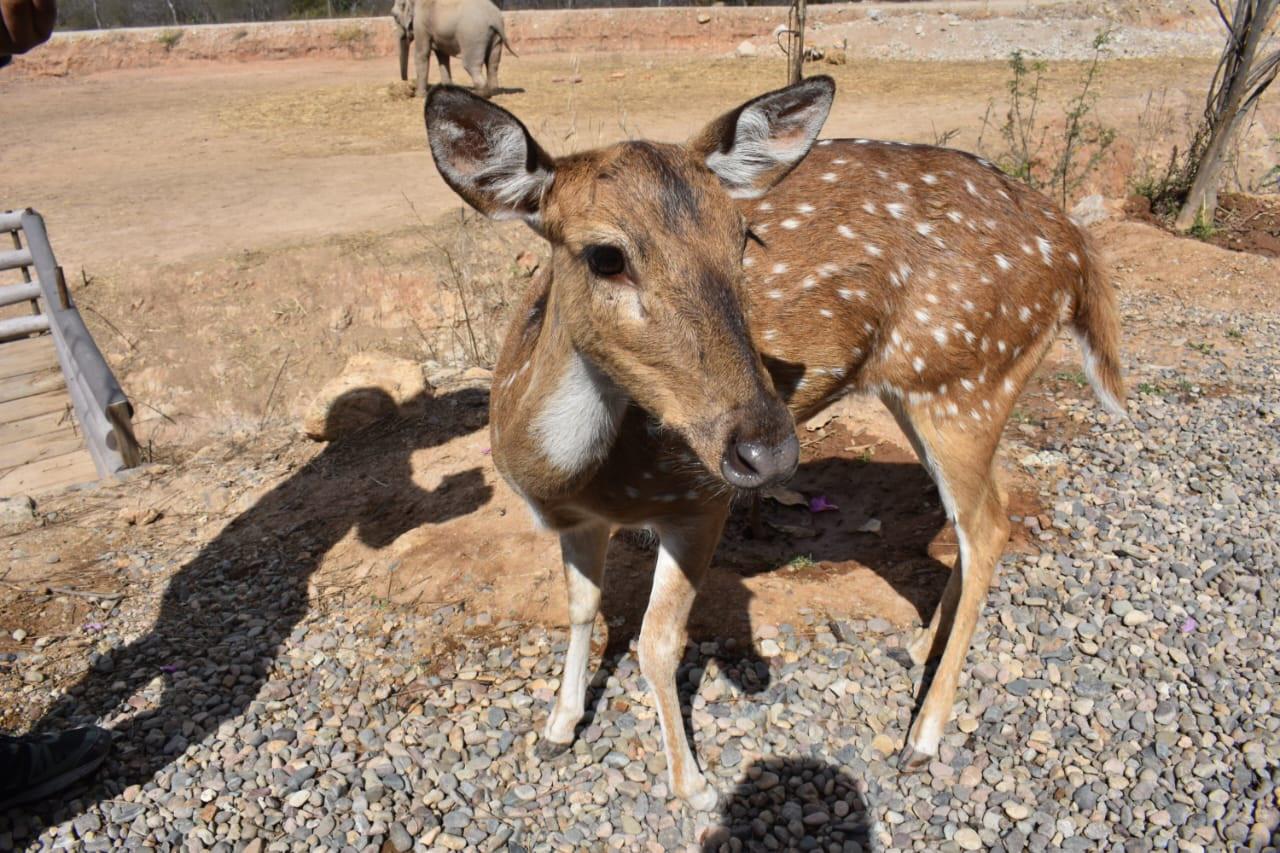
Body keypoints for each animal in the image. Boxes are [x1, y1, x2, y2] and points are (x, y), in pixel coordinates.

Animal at [424, 76, 1126, 809]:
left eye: (744, 238)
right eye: (605, 255)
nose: (769, 450)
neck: (575, 477)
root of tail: (1078, 248)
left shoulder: (698, 500)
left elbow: (657, 642)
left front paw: (694, 786)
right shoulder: (578, 521)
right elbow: (583, 607)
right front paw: (559, 726)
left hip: (967, 383)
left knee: (989, 524)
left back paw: (925, 735)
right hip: (928, 388)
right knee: (977, 518)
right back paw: (916, 650)